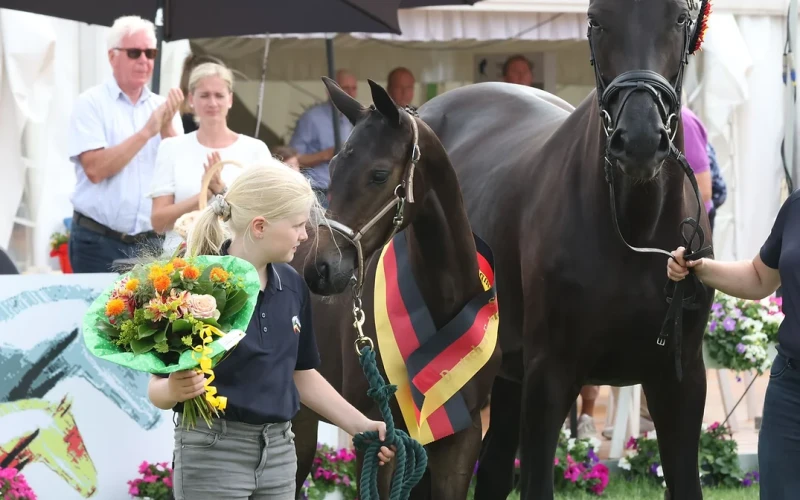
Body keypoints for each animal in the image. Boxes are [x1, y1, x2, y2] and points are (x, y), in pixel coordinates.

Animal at [290, 80, 500, 498]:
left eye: (379, 174)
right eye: (333, 167)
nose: (321, 270)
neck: (441, 303)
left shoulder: (462, 438)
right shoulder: (378, 436)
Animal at [416, 0, 716, 500]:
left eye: (678, 17)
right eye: (595, 19)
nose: (639, 140)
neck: (633, 230)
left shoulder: (681, 381)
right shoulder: (549, 377)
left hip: (505, 373)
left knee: (493, 467)